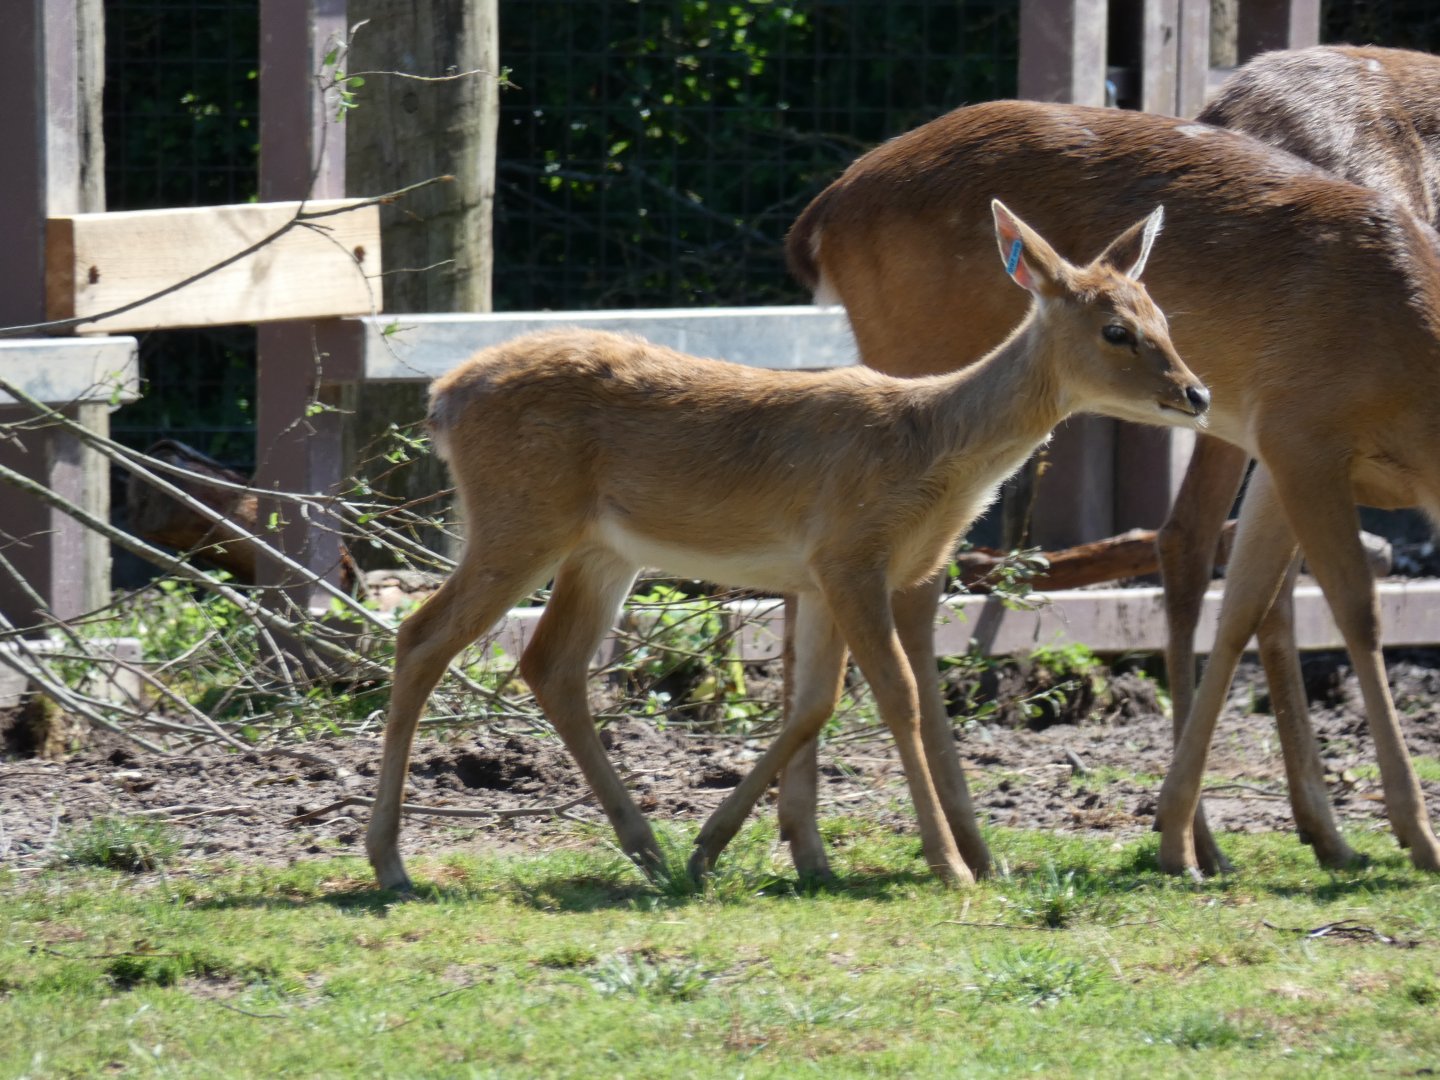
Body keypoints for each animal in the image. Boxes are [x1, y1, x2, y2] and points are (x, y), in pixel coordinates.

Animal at [365, 199, 1209, 893]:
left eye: (1165, 315)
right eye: (1116, 329)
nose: (1196, 393)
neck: (927, 450)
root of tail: (442, 399)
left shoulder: (817, 574)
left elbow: (813, 703)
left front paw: (724, 847)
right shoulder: (851, 552)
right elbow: (898, 695)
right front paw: (951, 866)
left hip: (602, 549)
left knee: (551, 664)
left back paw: (648, 849)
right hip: (519, 517)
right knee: (421, 636)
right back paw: (391, 863)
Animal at [781, 97, 1440, 882]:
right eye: (1119, 330)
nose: (1198, 390)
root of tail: (820, 217)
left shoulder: (1281, 454)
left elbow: (1244, 608)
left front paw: (1190, 833)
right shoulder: (1301, 432)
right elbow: (1356, 613)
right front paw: (1415, 835)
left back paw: (811, 839)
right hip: (920, 367)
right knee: (907, 590)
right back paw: (951, 843)